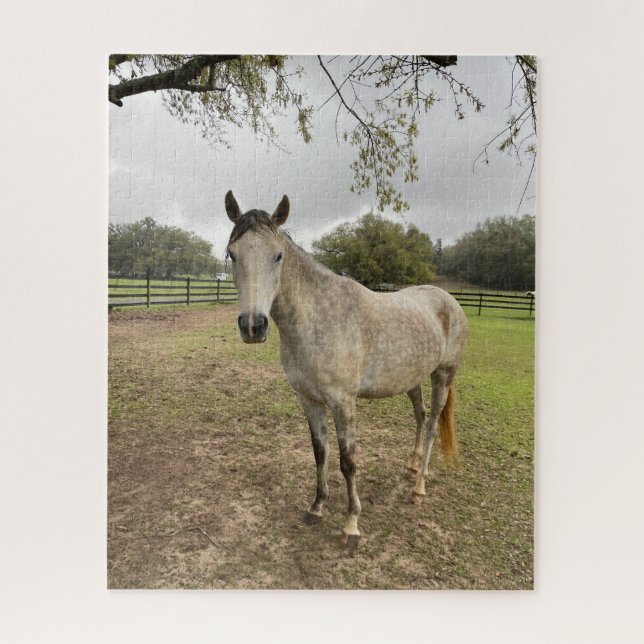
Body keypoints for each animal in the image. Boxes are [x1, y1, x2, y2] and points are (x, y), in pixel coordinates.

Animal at [224, 191, 468, 548]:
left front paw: (352, 525)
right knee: (420, 417)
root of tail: (450, 301)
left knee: (433, 425)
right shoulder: (309, 400)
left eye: (278, 256)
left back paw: (419, 487)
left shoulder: (343, 403)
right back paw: (410, 467)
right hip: (412, 379)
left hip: (443, 376)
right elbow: (320, 453)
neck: (317, 319)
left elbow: (348, 461)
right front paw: (316, 507)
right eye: (233, 254)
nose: (253, 326)